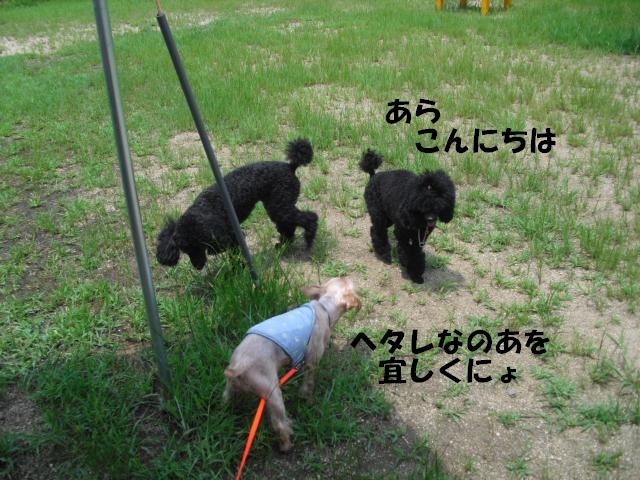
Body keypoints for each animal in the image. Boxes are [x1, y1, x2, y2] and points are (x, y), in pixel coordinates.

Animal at [156, 138, 319, 269]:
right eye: (185, 250)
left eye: (199, 247)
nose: (198, 267)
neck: (205, 209)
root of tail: (290, 166)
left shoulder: (232, 237)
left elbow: (235, 255)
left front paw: (238, 270)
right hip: (278, 205)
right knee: (288, 225)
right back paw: (283, 244)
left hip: (280, 205)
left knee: (309, 218)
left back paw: (309, 239)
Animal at [223, 277, 361, 452]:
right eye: (348, 282)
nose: (349, 276)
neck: (325, 307)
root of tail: (238, 366)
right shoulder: (312, 361)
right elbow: (308, 384)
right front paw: (308, 400)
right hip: (271, 390)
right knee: (279, 424)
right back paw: (286, 444)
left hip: (231, 387)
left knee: (226, 397)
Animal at [359, 149, 455, 283]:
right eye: (422, 202)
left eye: (440, 199)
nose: (431, 219)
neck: (418, 219)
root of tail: (373, 176)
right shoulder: (402, 233)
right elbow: (406, 250)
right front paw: (406, 263)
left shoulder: (420, 238)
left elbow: (416, 253)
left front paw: (416, 274)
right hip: (378, 214)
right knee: (377, 230)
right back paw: (384, 254)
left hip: (388, 217)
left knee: (375, 229)